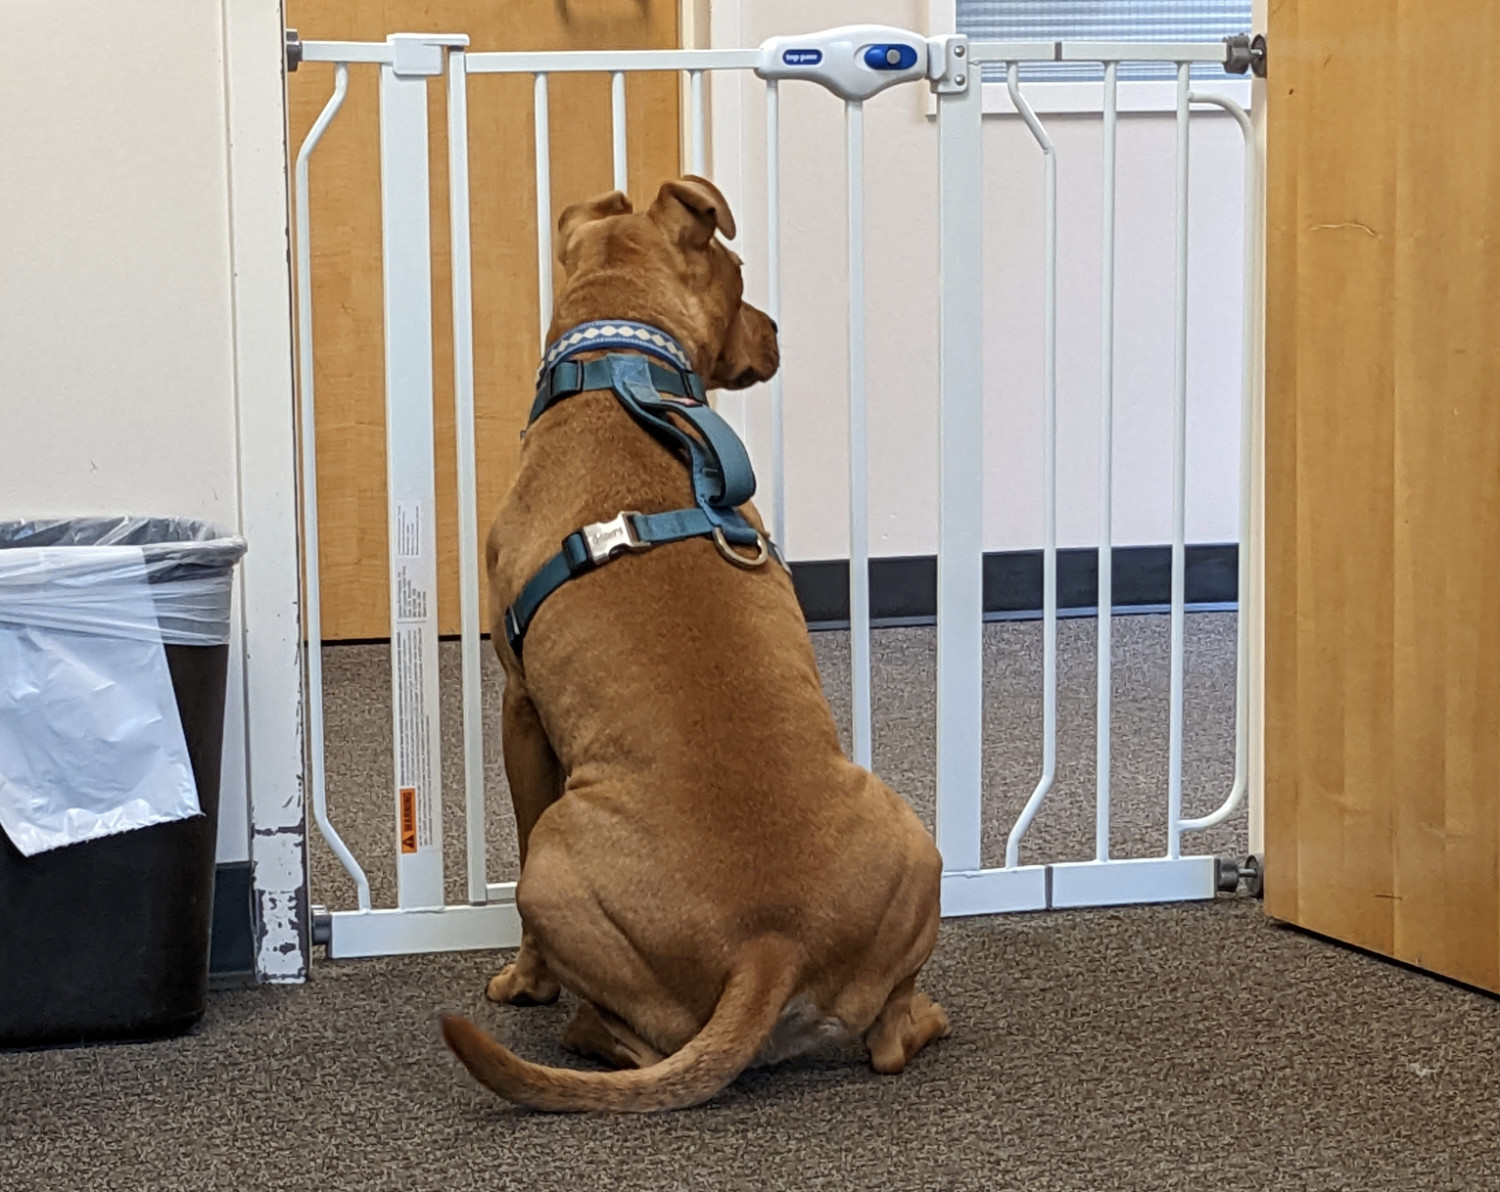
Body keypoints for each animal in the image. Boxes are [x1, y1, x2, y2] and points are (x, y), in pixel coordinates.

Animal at [438, 174, 948, 1109]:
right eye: (739, 277)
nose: (777, 330)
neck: (617, 369)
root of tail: (769, 946)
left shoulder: (519, 709)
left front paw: (523, 983)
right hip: (909, 839)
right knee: (890, 1036)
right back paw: (922, 1014)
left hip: (552, 869)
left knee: (636, 1040)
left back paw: (584, 1028)